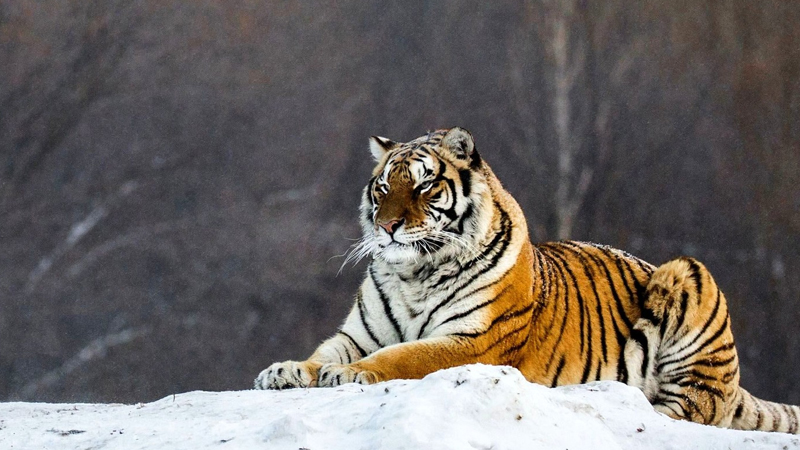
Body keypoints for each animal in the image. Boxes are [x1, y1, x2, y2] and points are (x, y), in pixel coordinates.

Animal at [255, 125, 800, 432]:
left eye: (426, 185)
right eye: (384, 187)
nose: (387, 227)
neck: (415, 271)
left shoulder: (473, 341)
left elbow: (403, 356)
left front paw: (347, 375)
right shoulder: (360, 333)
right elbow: (323, 353)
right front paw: (284, 371)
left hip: (688, 273)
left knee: (691, 409)